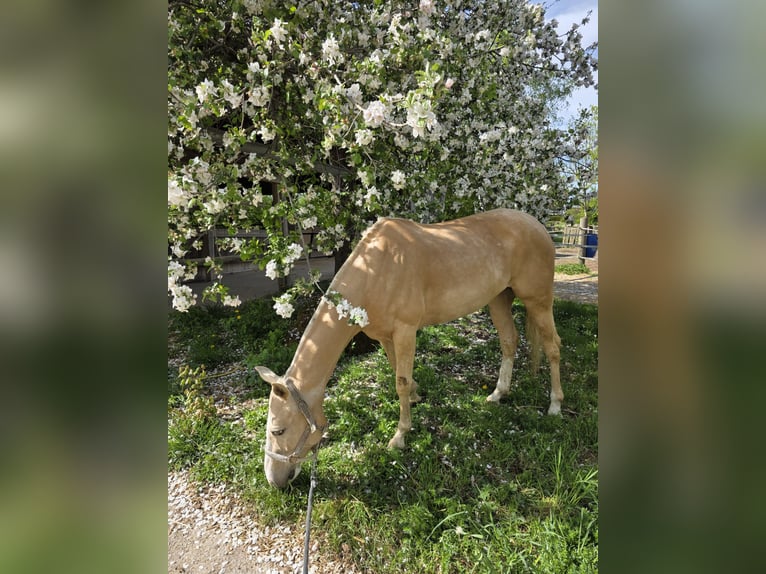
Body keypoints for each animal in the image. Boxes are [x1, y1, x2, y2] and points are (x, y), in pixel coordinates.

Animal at [255, 208, 562, 488]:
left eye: (278, 430)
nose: (273, 480)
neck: (377, 269)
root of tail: (537, 226)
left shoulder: (405, 331)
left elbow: (400, 382)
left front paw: (400, 436)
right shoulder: (386, 336)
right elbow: (398, 372)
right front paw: (415, 396)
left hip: (538, 300)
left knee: (553, 347)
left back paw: (555, 405)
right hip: (499, 299)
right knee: (509, 341)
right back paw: (498, 393)